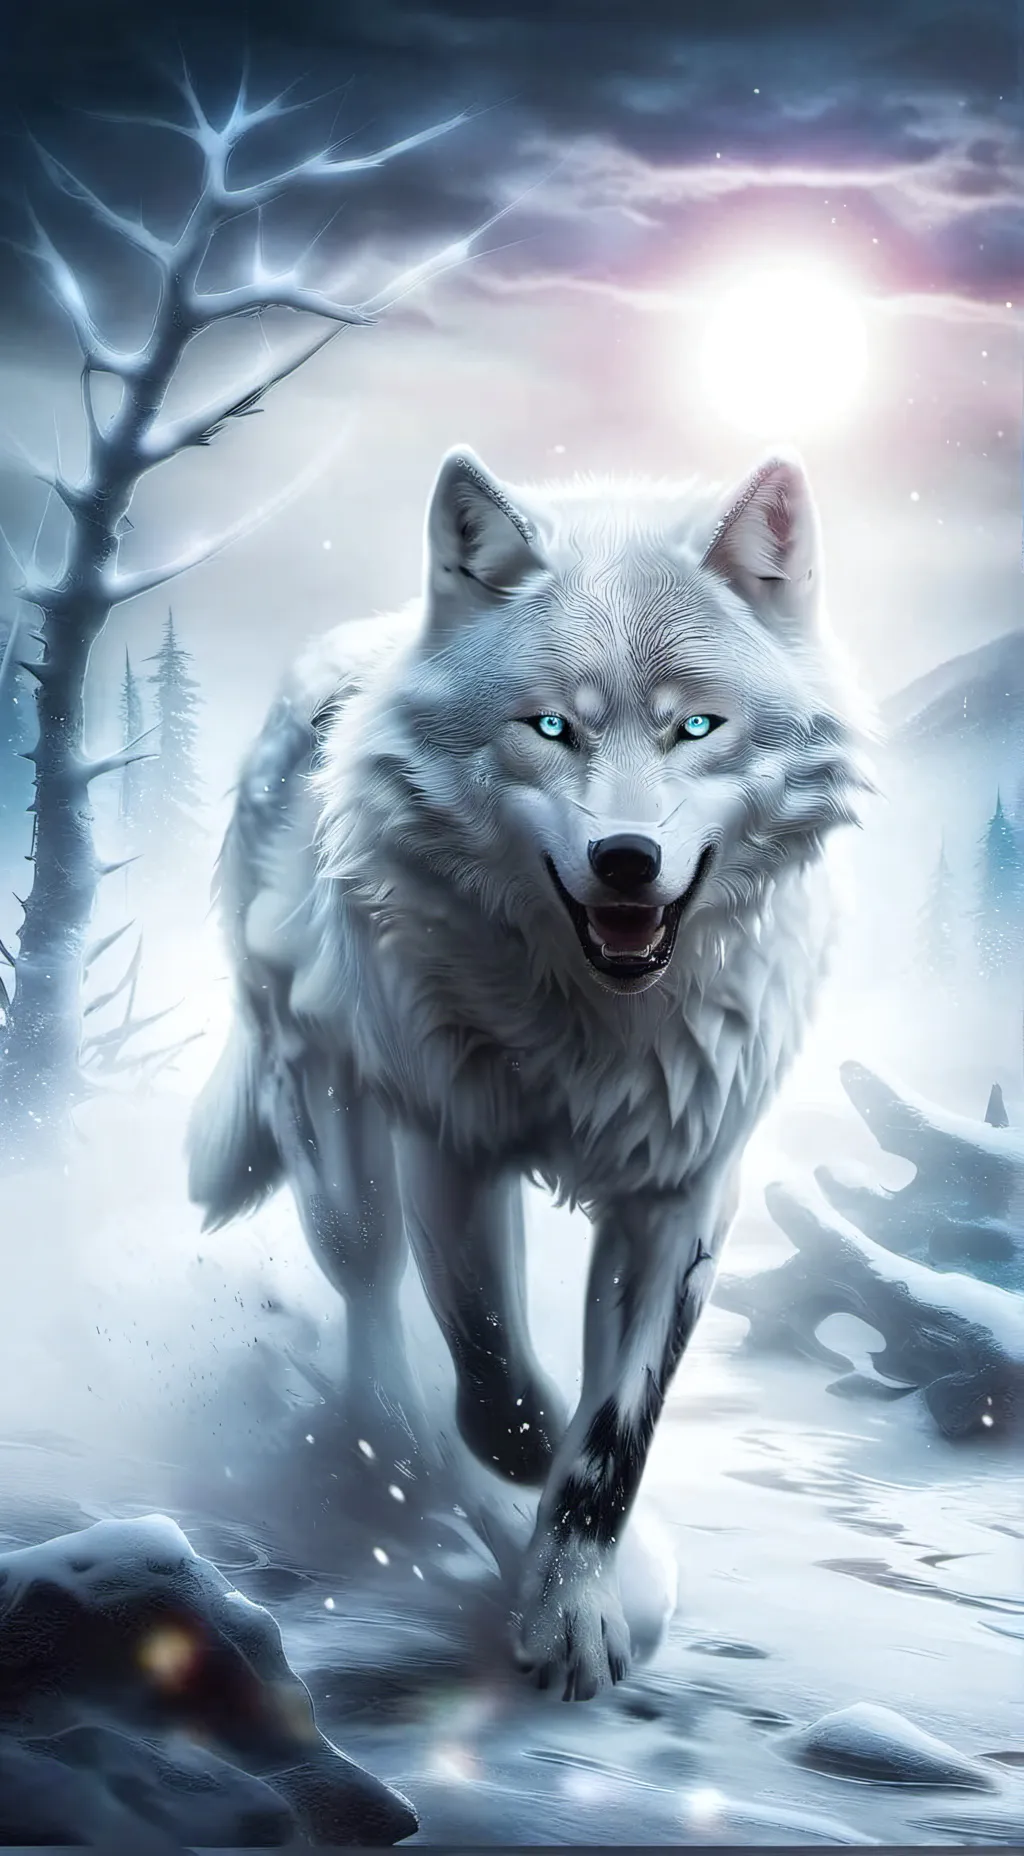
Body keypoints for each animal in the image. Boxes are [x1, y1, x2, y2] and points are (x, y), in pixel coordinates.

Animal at [188, 443, 869, 1701]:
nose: (627, 858)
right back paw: (387, 1438)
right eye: (550, 726)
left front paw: (578, 1606)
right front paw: (568, 1536)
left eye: (697, 725)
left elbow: (610, 1439)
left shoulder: (682, 1193)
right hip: (337, 1146)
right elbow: (500, 1389)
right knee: (369, 1293)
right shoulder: (452, 1148)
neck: (597, 1023)